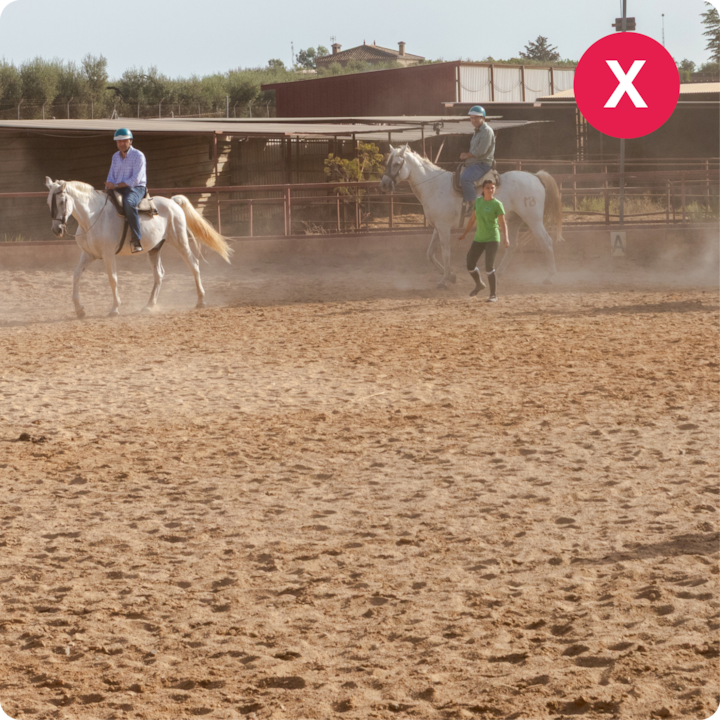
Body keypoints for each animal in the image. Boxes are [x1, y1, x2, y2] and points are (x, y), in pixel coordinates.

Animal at [45, 177, 232, 318]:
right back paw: (149, 305)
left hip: (180, 241)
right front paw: (79, 309)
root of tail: (173, 202)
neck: (93, 217)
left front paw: (115, 308)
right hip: (154, 249)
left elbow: (113, 279)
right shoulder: (88, 254)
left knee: (194, 264)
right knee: (159, 274)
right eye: (48, 202)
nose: (56, 230)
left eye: (62, 201)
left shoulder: (108, 255)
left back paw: (200, 301)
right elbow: (76, 275)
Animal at [379, 146, 563, 288]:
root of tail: (536, 176)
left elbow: (446, 253)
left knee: (547, 242)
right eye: (387, 163)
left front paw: (444, 280)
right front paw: (451, 276)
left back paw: (550, 277)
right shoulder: (438, 227)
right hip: (514, 220)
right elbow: (430, 253)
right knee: (512, 246)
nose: (384, 184)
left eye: (397, 163)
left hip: (533, 220)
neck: (434, 186)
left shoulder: (444, 228)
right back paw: (499, 273)